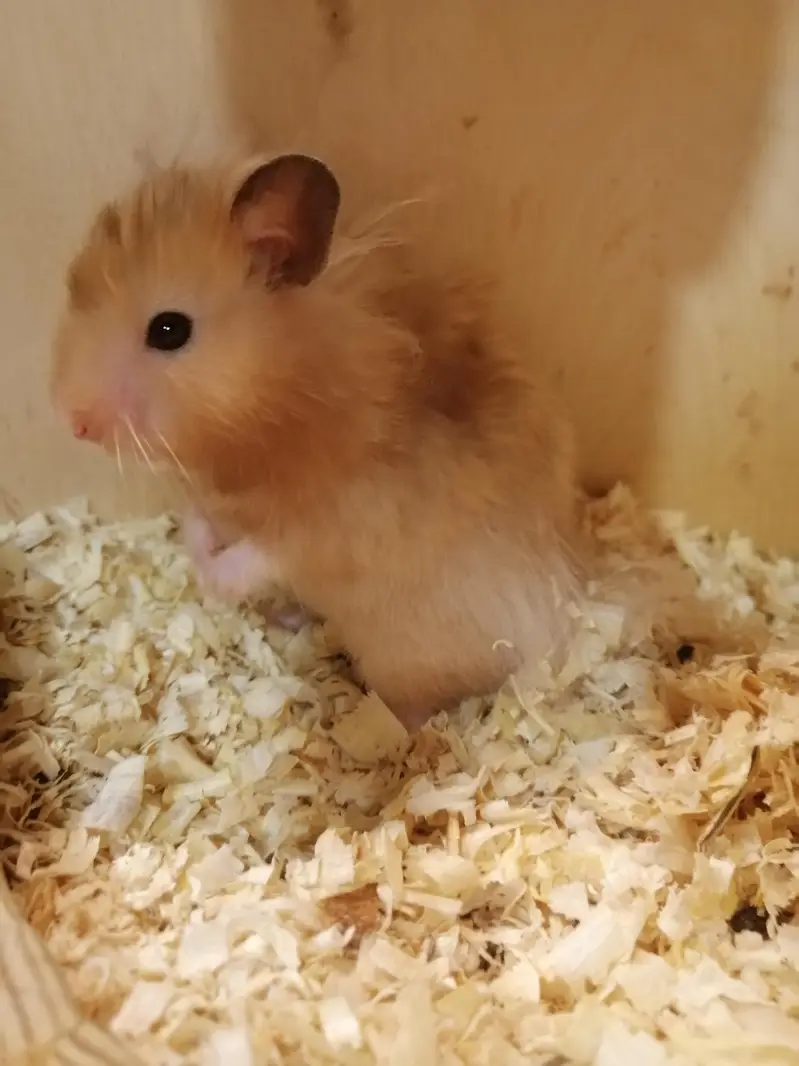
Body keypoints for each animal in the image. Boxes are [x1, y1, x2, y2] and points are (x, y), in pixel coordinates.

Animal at [52, 152, 584, 731]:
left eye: (169, 330)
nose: (73, 422)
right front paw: (197, 521)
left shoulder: (336, 525)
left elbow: (247, 561)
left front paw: (202, 548)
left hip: (409, 651)